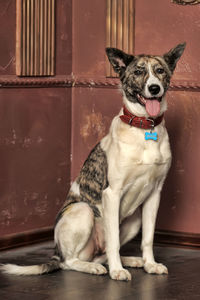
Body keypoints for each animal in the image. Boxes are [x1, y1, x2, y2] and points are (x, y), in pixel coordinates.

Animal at [1, 42, 186, 282]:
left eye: (160, 70)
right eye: (138, 72)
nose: (154, 88)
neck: (144, 128)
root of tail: (57, 252)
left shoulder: (154, 194)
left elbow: (148, 239)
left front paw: (150, 264)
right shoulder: (112, 193)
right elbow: (113, 241)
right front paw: (117, 271)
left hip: (134, 220)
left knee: (102, 254)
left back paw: (130, 261)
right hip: (83, 211)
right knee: (71, 262)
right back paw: (95, 267)